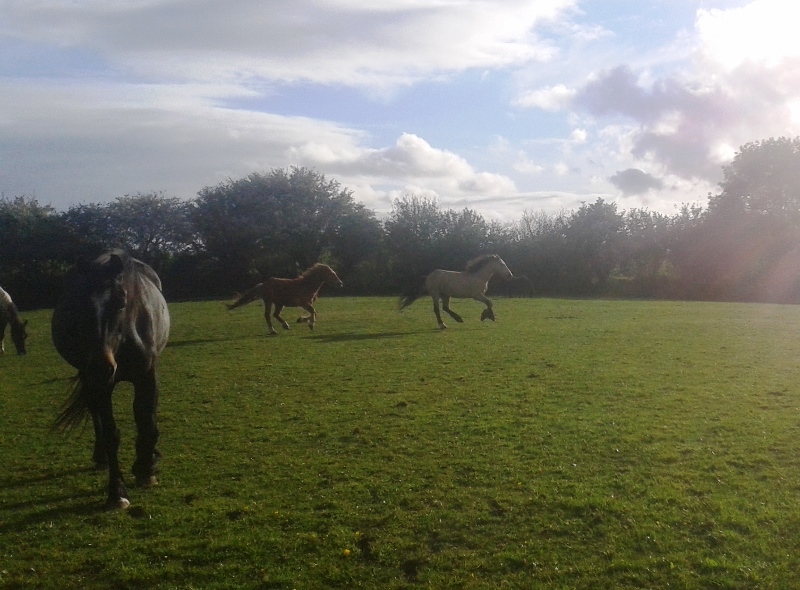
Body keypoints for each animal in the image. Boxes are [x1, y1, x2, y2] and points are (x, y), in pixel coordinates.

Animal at [51, 250, 170, 510]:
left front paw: (146, 467)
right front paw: (117, 492)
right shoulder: (99, 385)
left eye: (121, 302)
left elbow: (147, 420)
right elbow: (111, 434)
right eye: (79, 306)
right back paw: (101, 457)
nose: (100, 366)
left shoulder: (146, 376)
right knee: (95, 414)